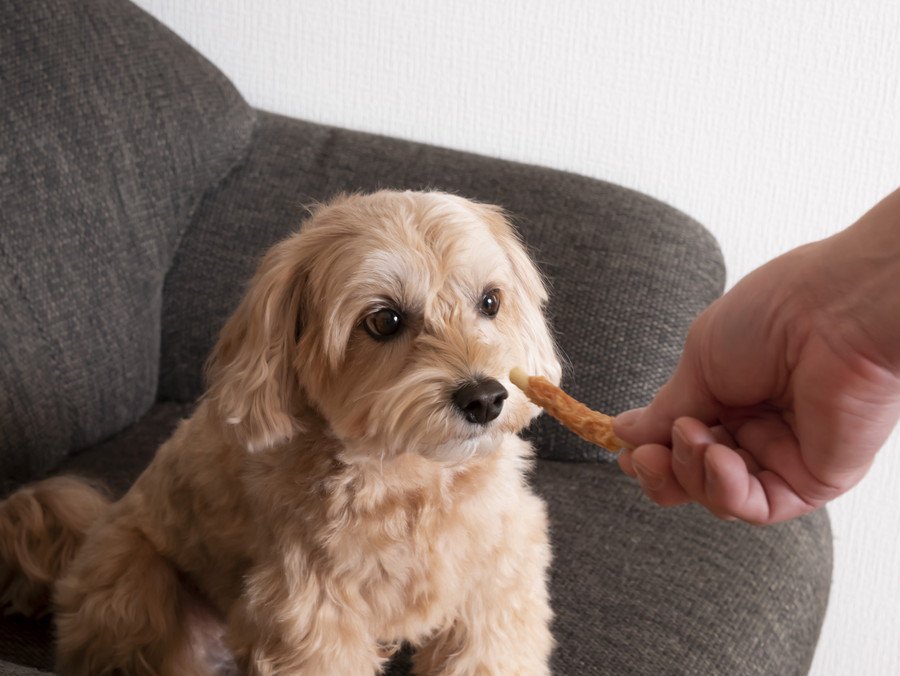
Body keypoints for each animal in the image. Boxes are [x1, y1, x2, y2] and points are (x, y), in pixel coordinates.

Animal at [0, 190, 564, 676]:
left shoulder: (499, 581)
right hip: (134, 584)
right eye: (384, 320)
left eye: (490, 302)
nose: (485, 398)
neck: (416, 482)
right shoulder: (310, 613)